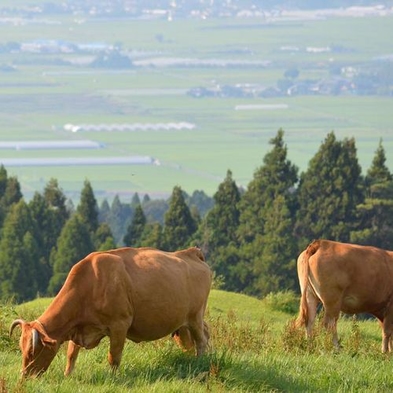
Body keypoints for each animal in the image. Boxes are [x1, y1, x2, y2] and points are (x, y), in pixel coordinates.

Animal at [9, 245, 211, 376]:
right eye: (21, 347)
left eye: (33, 351)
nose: (25, 376)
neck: (90, 284)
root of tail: (191, 252)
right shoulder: (77, 328)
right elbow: (71, 354)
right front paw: (68, 376)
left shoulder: (119, 325)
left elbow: (113, 356)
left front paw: (113, 378)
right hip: (183, 323)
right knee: (197, 338)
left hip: (195, 316)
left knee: (201, 341)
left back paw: (200, 363)